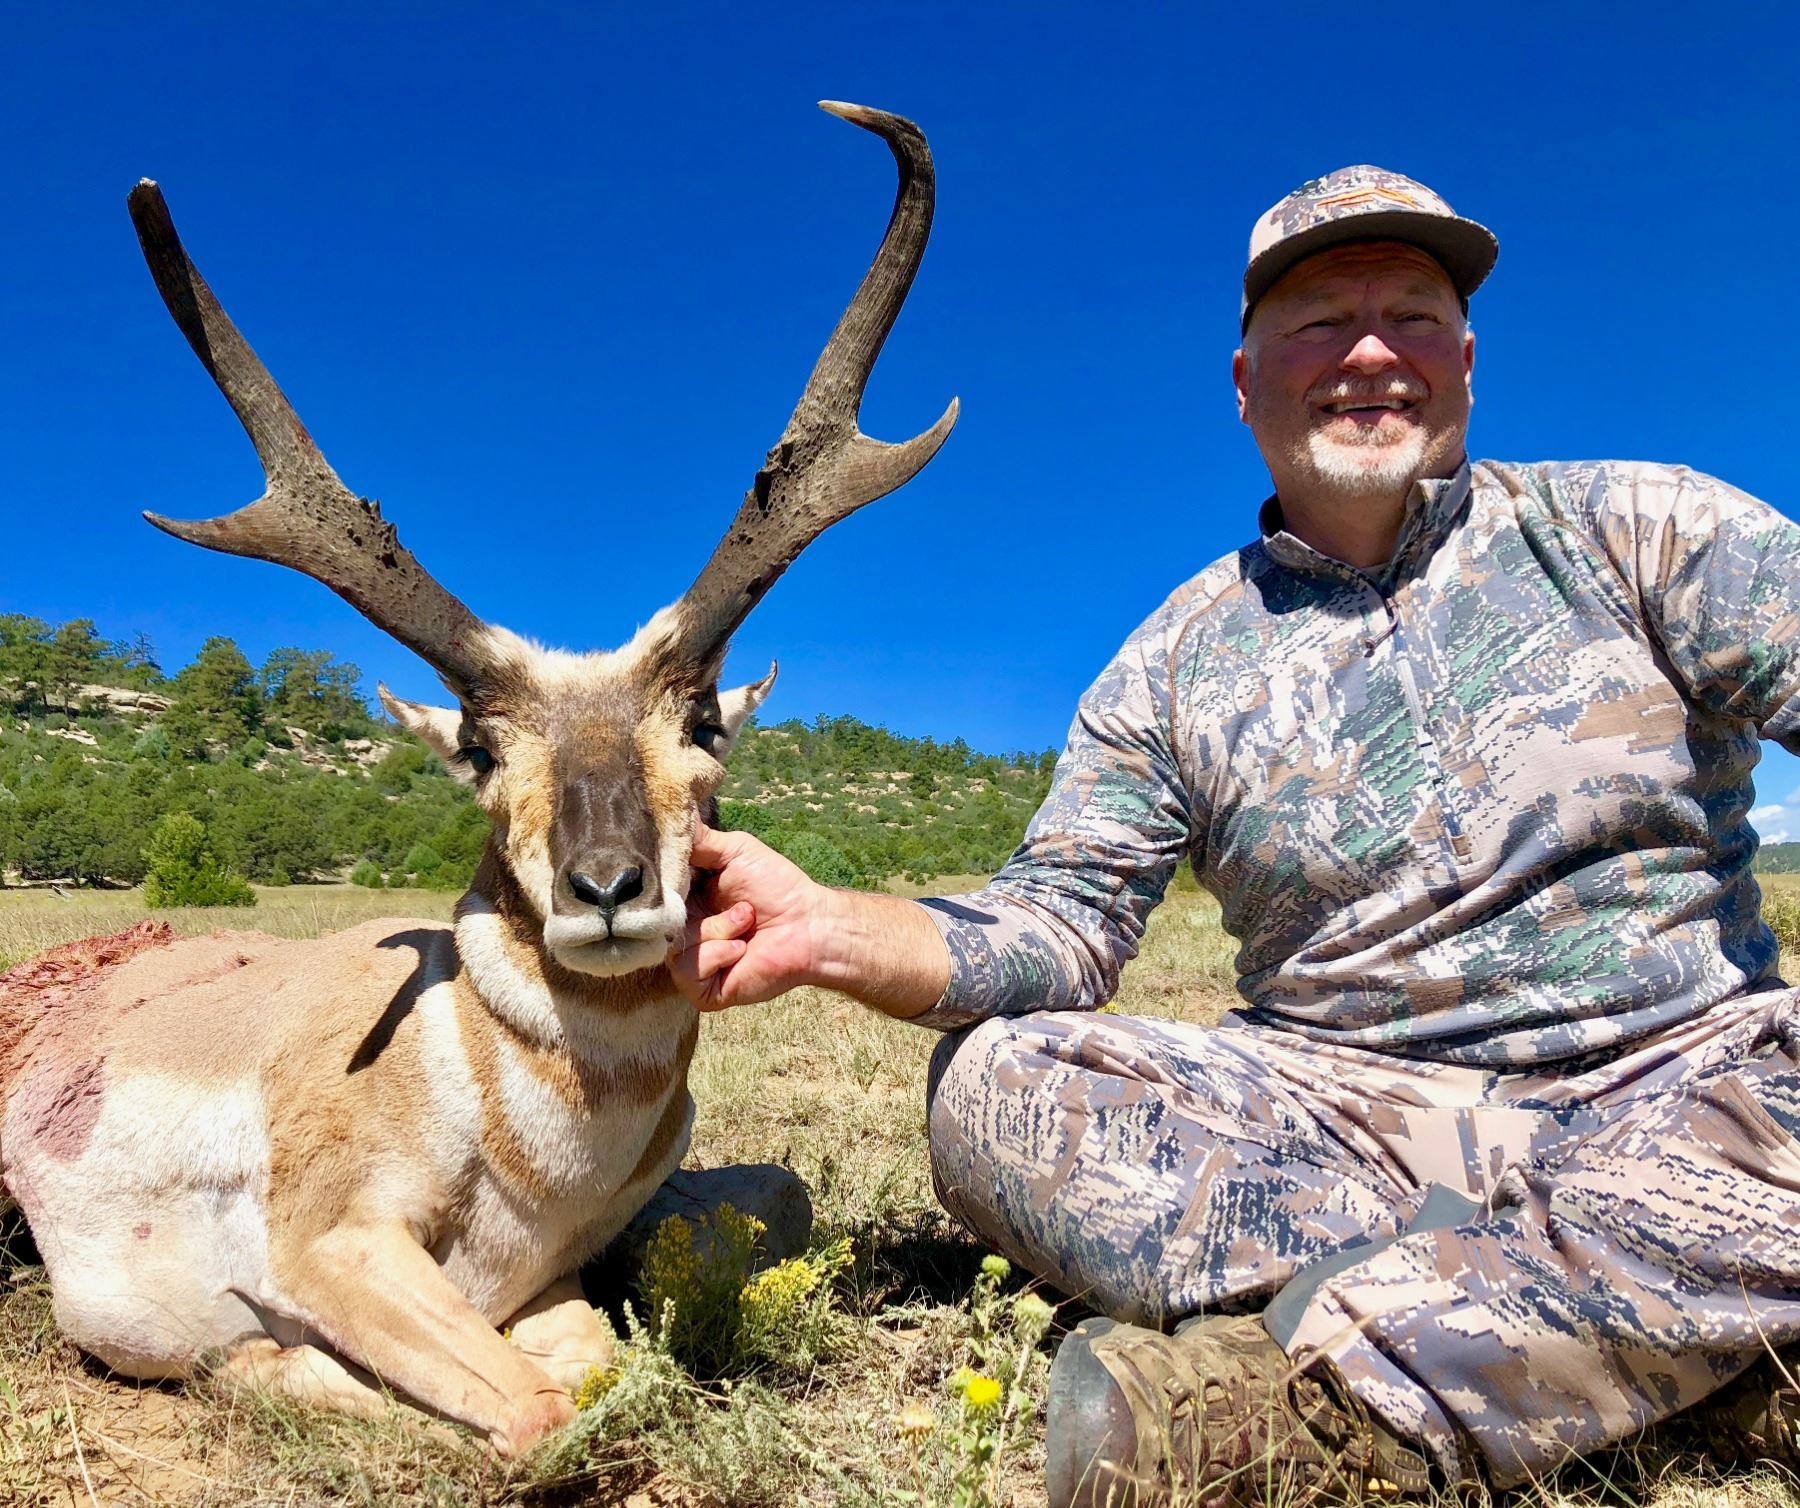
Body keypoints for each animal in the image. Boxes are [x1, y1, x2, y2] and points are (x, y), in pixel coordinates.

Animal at [0, 102, 955, 1456]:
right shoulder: (334, 1240)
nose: (607, 889)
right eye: (481, 748)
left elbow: (594, 1363)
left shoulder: (549, 1279)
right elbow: (538, 1402)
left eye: (703, 721)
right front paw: (260, 1363)